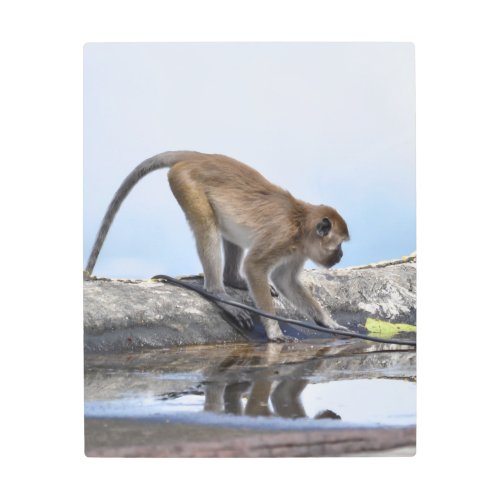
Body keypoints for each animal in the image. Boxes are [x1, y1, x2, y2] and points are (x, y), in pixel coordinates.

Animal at [84, 150, 350, 342]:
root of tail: (199, 156)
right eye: (338, 245)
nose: (340, 255)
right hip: (186, 183)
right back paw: (218, 293)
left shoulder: (298, 250)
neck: (300, 224)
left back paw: (233, 279)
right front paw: (274, 331)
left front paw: (328, 322)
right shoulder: (281, 236)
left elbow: (285, 280)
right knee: (207, 226)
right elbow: (254, 266)